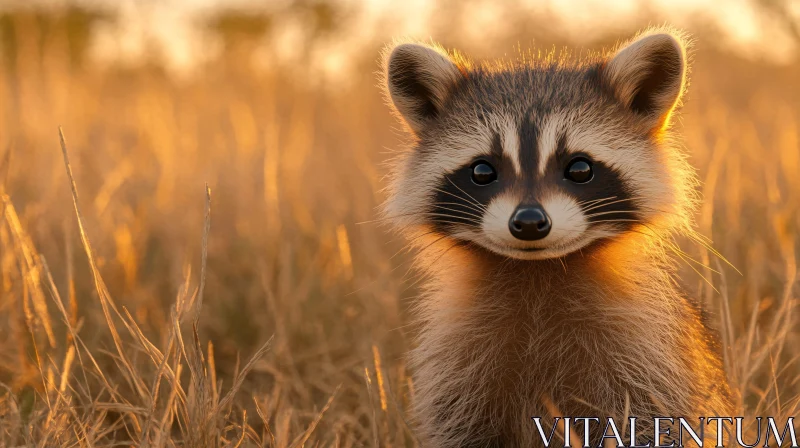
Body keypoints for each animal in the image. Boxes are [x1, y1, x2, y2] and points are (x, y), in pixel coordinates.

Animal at [382, 28, 736, 448]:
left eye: (580, 168)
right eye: (482, 171)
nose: (529, 222)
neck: (538, 271)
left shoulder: (651, 352)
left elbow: (655, 420)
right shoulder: (455, 362)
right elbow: (461, 428)